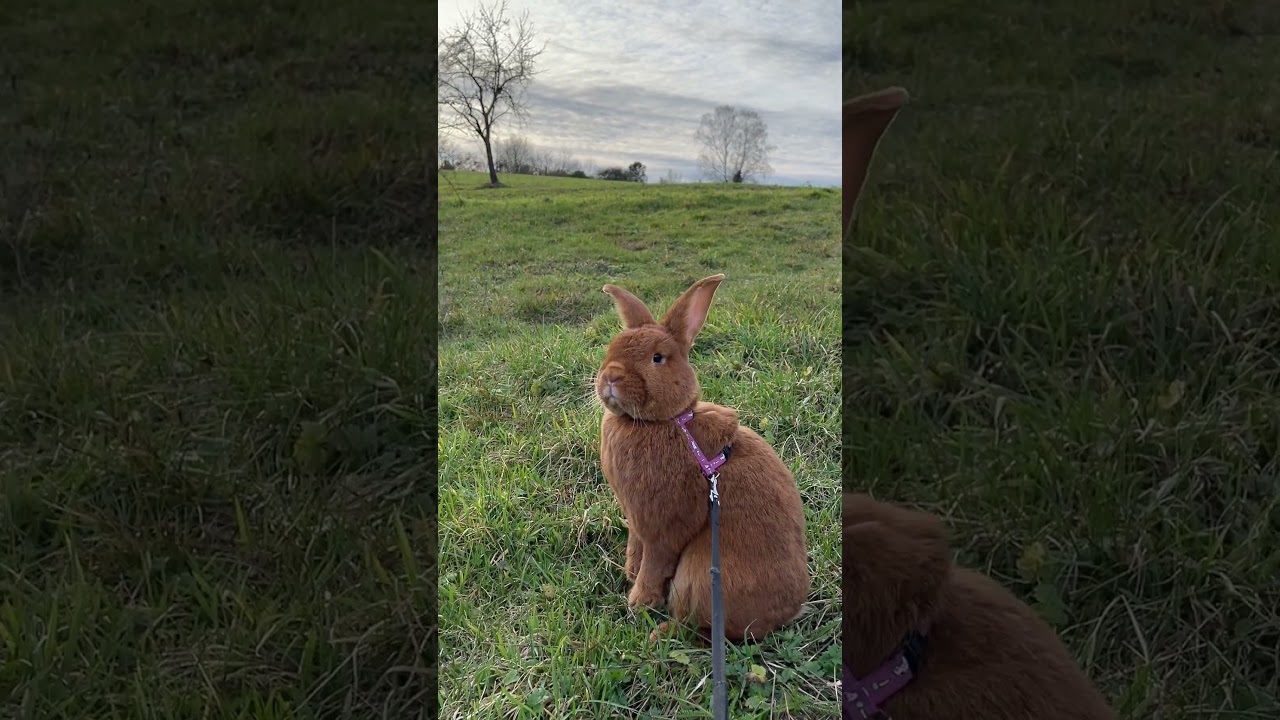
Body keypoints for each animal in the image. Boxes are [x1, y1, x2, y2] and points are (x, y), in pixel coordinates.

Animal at [595, 274, 810, 642]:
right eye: (612, 348)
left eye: (657, 358)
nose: (611, 375)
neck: (662, 422)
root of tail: (786, 614)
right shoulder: (637, 521)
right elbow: (636, 549)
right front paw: (629, 572)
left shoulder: (662, 527)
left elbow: (654, 563)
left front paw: (637, 602)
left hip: (698, 576)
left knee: (694, 625)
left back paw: (658, 634)